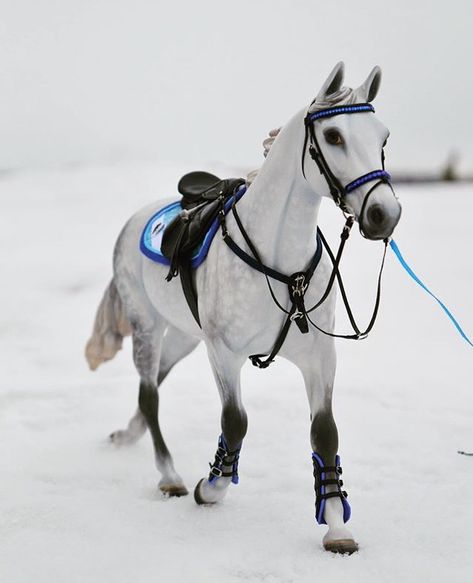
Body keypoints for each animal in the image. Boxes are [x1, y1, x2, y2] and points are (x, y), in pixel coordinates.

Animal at [85, 61, 402, 556]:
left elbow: (324, 432)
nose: (385, 213)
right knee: (150, 393)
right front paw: (210, 487)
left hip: (183, 336)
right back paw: (170, 476)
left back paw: (132, 436)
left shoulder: (320, 358)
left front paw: (336, 526)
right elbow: (235, 423)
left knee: (153, 383)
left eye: (383, 136)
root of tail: (136, 219)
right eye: (333, 136)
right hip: (147, 327)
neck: (282, 267)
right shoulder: (224, 352)